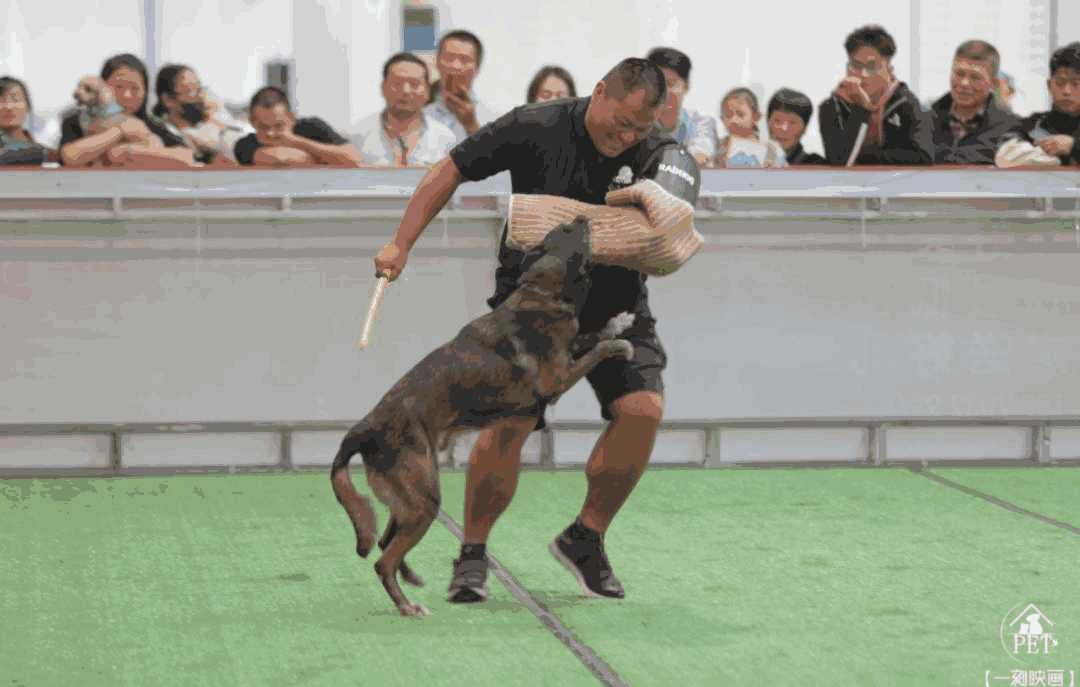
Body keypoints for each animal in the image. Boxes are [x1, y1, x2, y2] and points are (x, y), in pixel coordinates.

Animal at [328, 216, 630, 617]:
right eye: (567, 230)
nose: (583, 217)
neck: (539, 290)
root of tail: (364, 428)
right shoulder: (558, 380)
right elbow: (596, 348)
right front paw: (619, 343)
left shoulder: (568, 355)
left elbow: (591, 337)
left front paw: (619, 322)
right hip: (424, 499)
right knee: (383, 560)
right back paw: (408, 607)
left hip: (406, 498)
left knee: (384, 540)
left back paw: (411, 579)